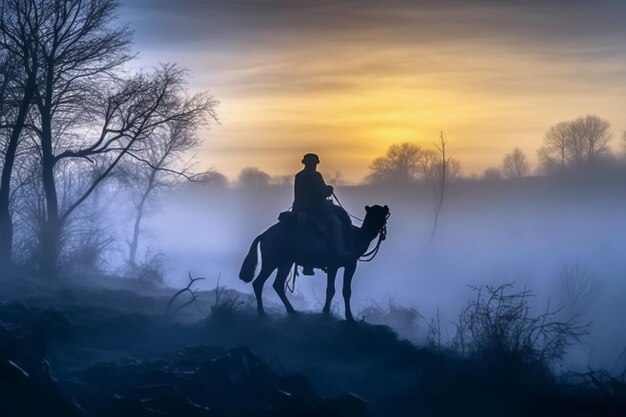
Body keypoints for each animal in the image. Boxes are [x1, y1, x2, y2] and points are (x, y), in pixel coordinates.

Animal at [240, 204, 390, 318]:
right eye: (373, 214)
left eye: (383, 214)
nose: (379, 227)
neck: (355, 237)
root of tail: (263, 235)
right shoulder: (335, 264)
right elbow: (331, 290)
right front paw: (327, 312)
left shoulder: (350, 265)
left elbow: (346, 291)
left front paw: (349, 317)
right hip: (272, 260)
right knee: (259, 282)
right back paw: (262, 313)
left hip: (285, 262)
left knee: (277, 284)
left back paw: (292, 311)